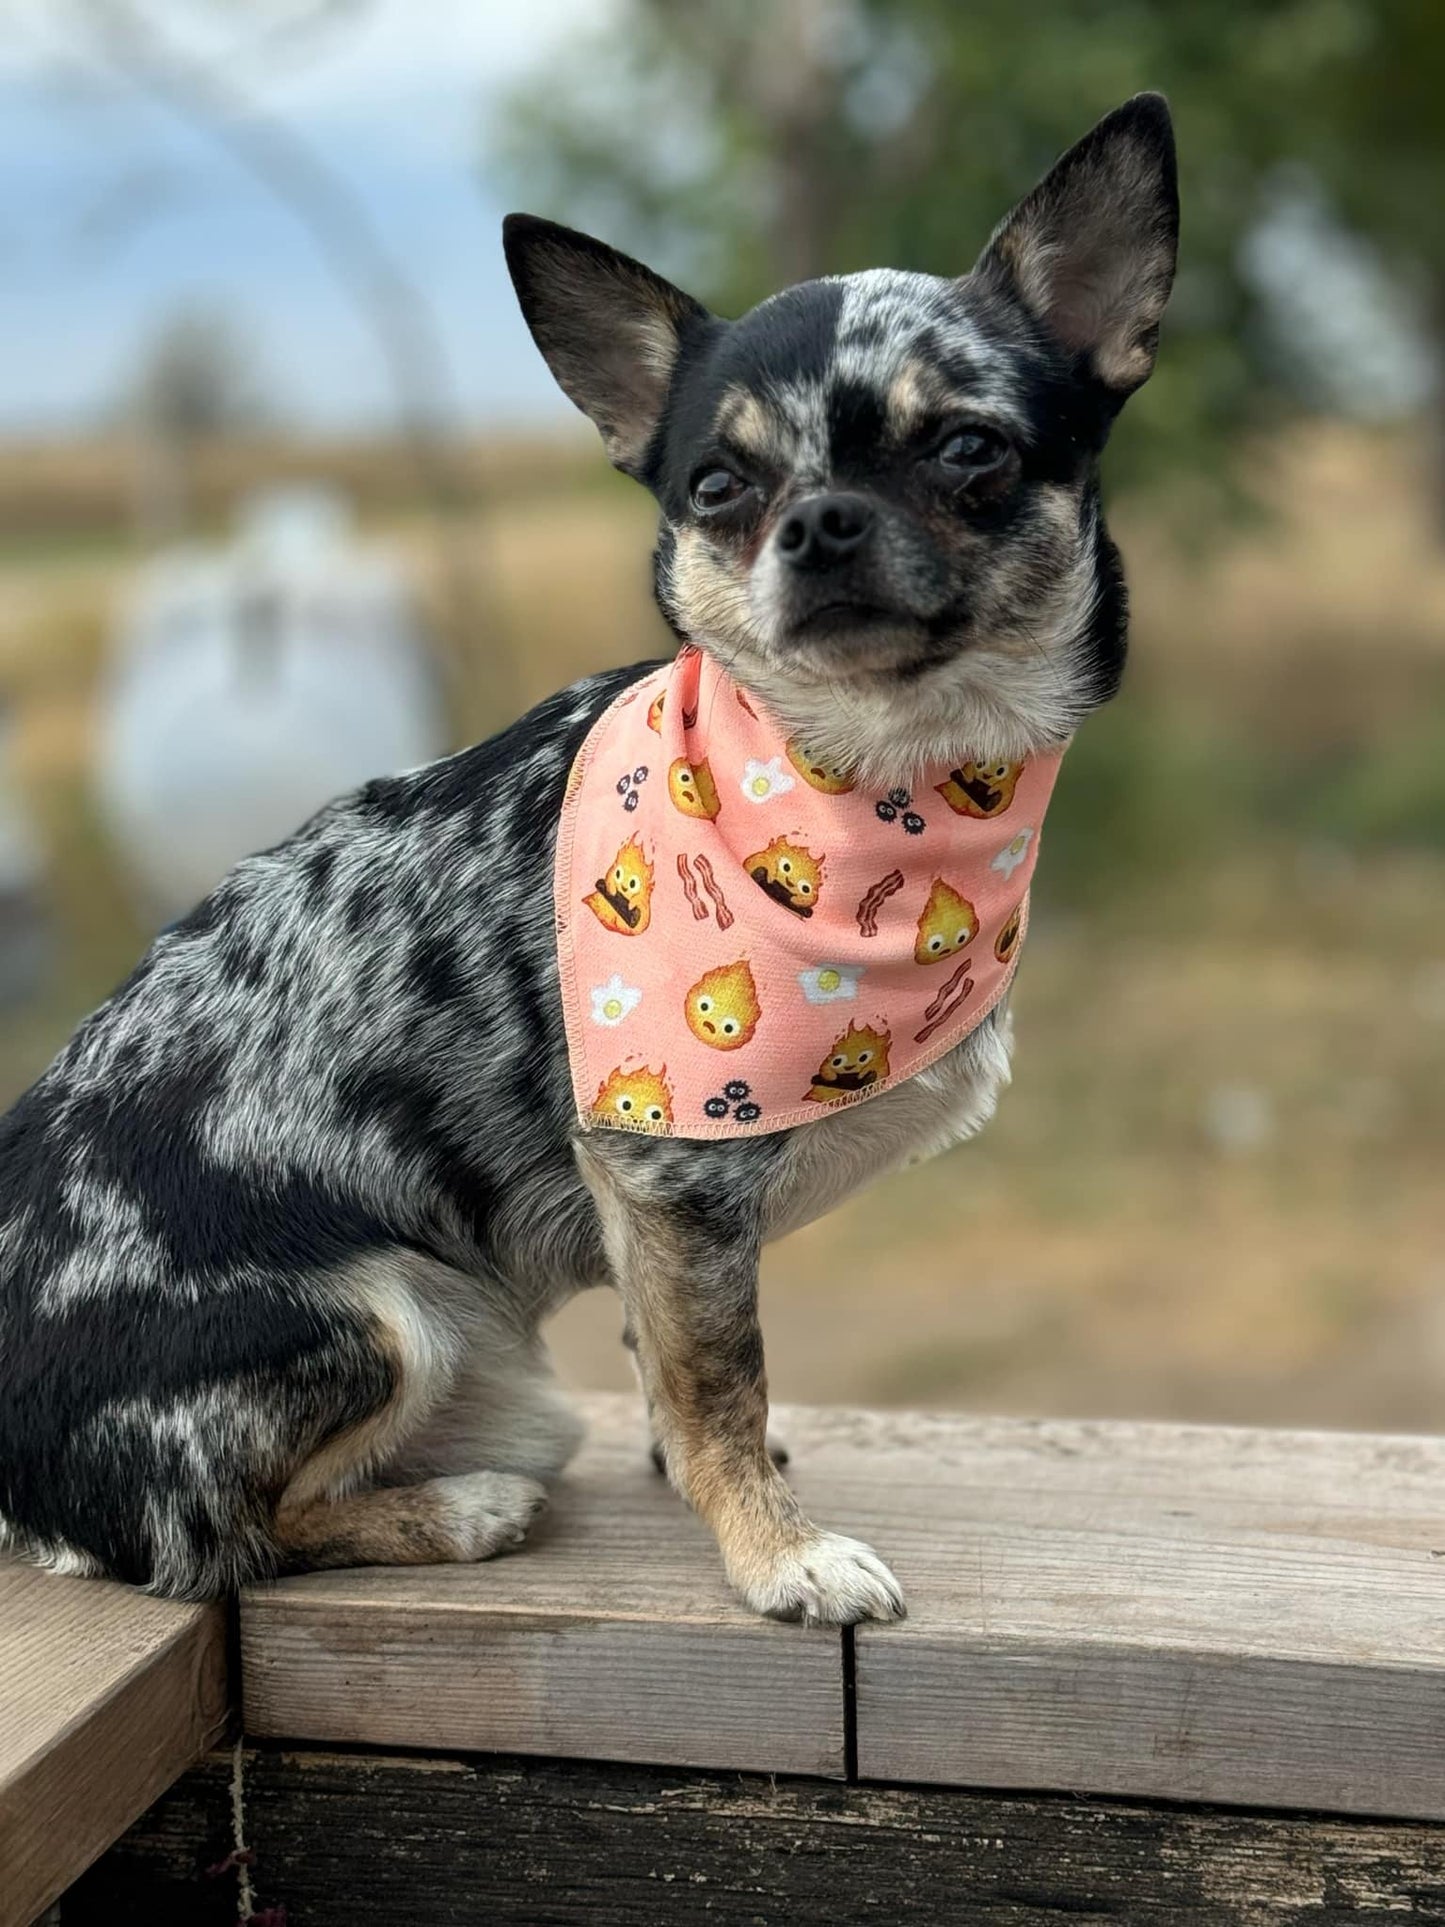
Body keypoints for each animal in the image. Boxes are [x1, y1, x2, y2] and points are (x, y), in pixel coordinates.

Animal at [0, 93, 1179, 1626]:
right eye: (718, 485)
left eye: (969, 451)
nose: (817, 522)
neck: (876, 788)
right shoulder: (675, 1174)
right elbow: (722, 1377)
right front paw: (774, 1548)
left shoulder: (655, 1216)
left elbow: (671, 1368)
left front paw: (707, 1485)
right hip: (392, 1316)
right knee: (226, 1535)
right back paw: (460, 1505)